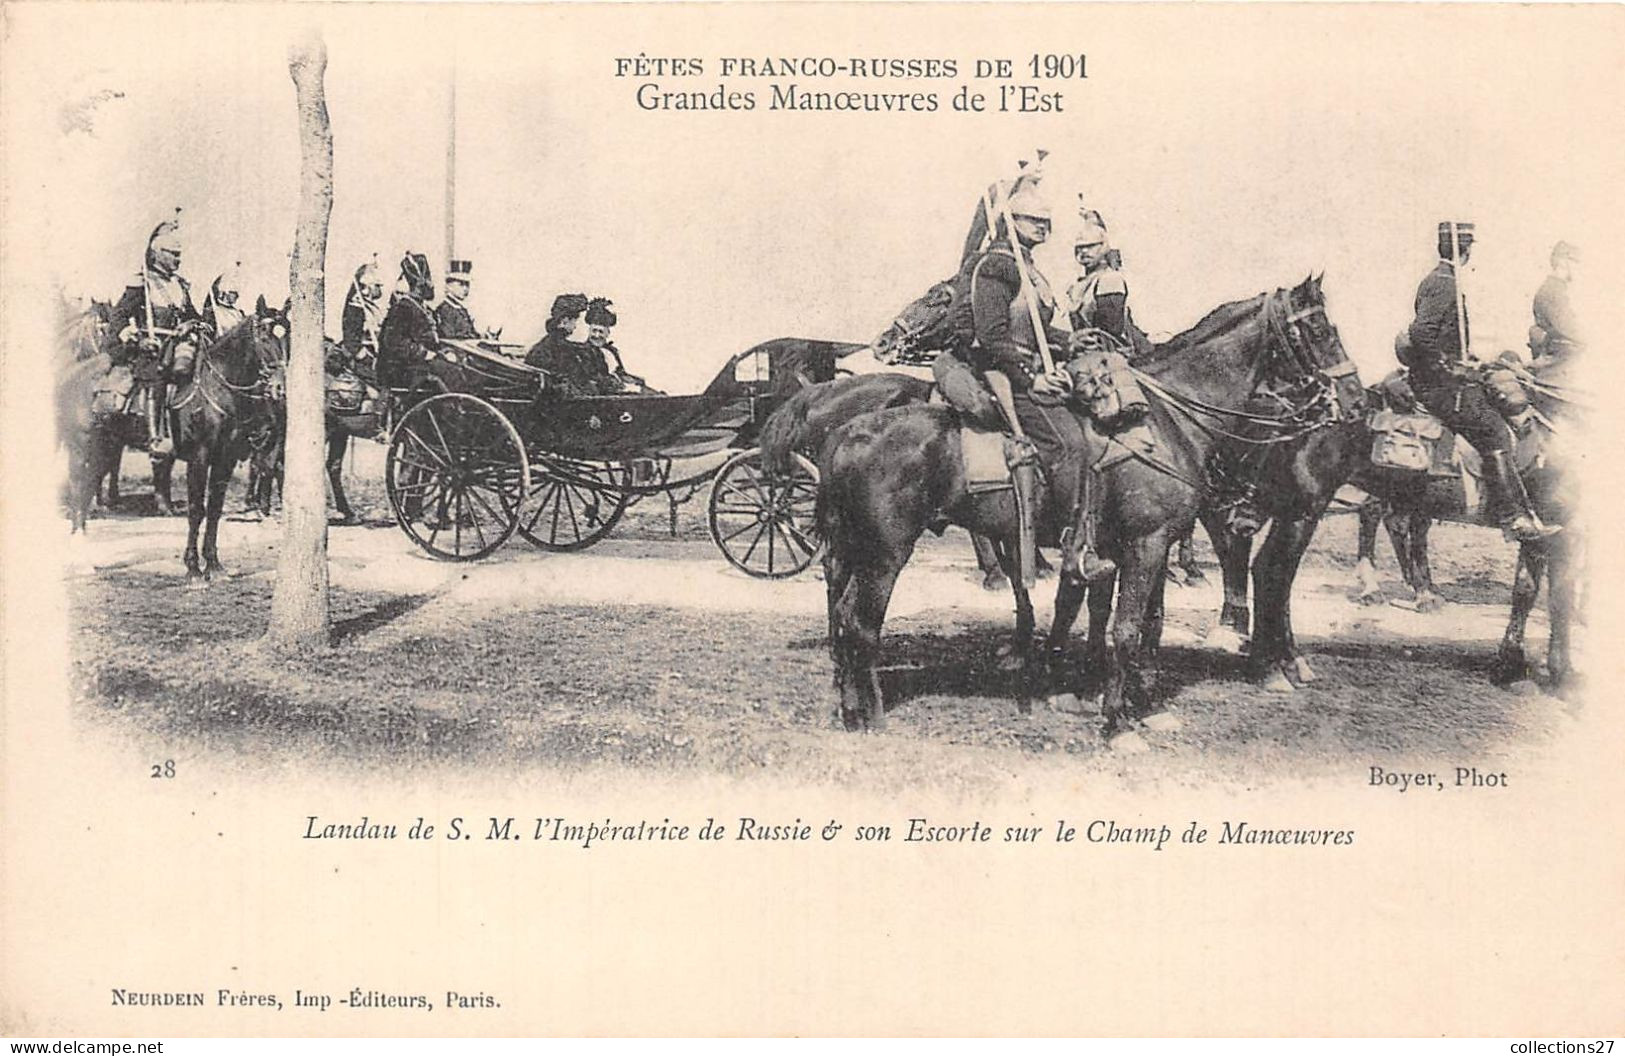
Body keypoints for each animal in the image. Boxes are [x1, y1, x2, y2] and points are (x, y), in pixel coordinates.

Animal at [819, 272, 1352, 731]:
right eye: (1321, 330)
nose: (1352, 398)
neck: (1166, 420)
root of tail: (847, 432)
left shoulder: (1139, 544)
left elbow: (1133, 620)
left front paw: (1132, 700)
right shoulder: (1147, 542)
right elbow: (1126, 627)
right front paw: (1117, 721)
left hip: (855, 548)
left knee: (843, 617)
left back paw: (849, 707)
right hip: (886, 552)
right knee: (862, 624)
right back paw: (873, 716)